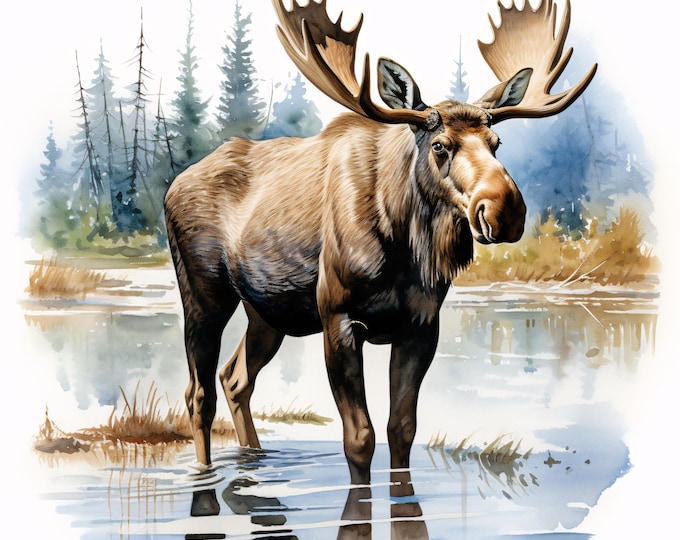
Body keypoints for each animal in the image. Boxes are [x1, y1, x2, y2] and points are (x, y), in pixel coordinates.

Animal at [164, 0, 596, 485]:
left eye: (496, 141)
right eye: (440, 145)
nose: (505, 210)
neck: (405, 248)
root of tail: (174, 183)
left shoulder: (421, 324)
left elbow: (402, 429)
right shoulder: (337, 315)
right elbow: (359, 438)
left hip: (267, 312)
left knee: (235, 379)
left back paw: (254, 460)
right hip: (203, 294)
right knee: (198, 393)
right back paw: (203, 473)